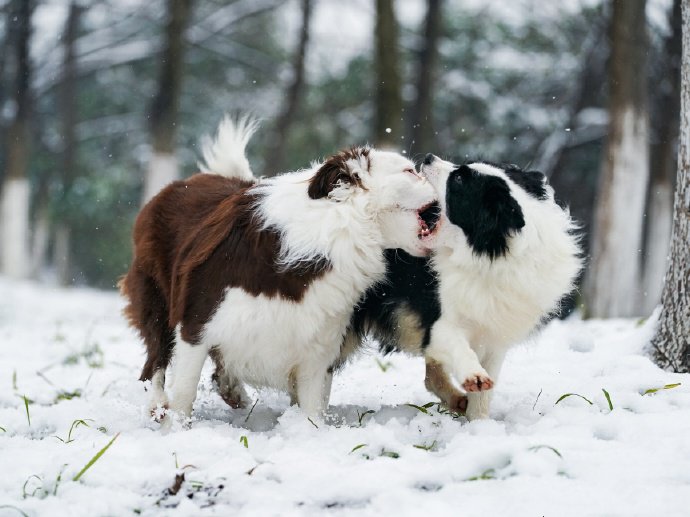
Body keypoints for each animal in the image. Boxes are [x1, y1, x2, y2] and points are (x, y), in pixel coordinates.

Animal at [120, 118, 438, 424]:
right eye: (410, 171)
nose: (435, 164)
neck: (334, 232)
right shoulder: (197, 325)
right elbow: (185, 392)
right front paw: (177, 428)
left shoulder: (318, 349)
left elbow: (312, 406)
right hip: (156, 299)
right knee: (156, 360)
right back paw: (157, 404)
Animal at [344, 153, 580, 420]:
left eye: (458, 180)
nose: (428, 157)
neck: (490, 255)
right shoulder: (440, 319)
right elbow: (457, 346)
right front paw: (473, 377)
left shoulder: (495, 332)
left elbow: (485, 390)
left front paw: (479, 423)